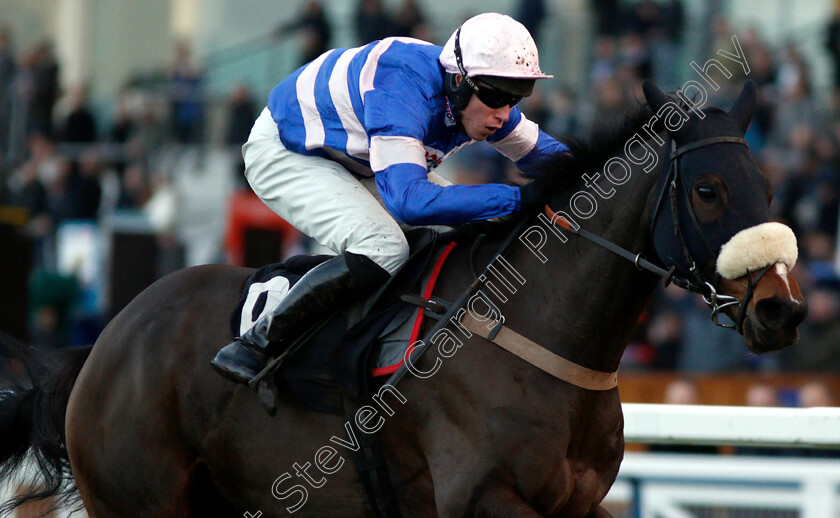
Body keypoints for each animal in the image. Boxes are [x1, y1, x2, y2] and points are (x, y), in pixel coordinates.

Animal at [3, 82, 812, 518]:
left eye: (770, 187)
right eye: (708, 191)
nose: (783, 310)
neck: (536, 333)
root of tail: (106, 340)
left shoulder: (579, 502)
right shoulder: (479, 496)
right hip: (139, 498)